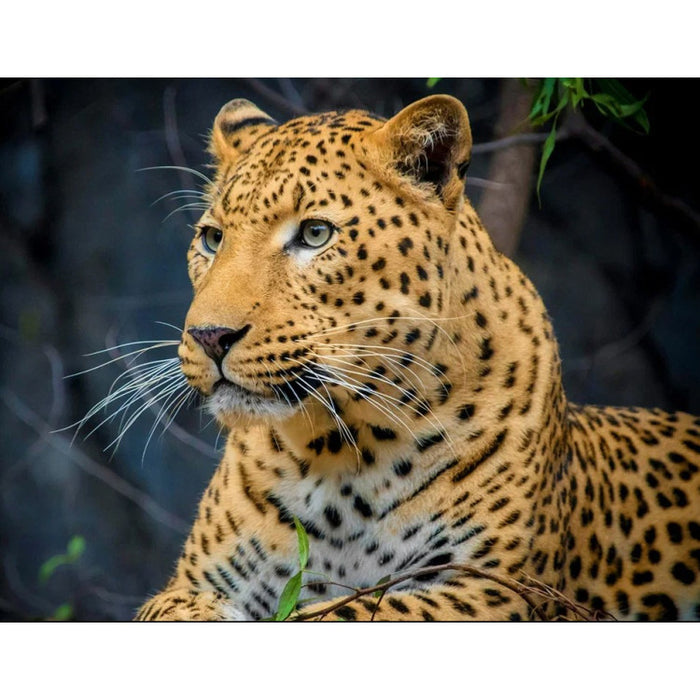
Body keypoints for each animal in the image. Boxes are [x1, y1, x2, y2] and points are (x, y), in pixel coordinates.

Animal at [134, 94, 700, 621]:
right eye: (212, 239)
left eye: (315, 234)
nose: (210, 336)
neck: (339, 456)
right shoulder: (187, 584)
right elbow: (177, 609)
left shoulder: (496, 590)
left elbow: (346, 612)